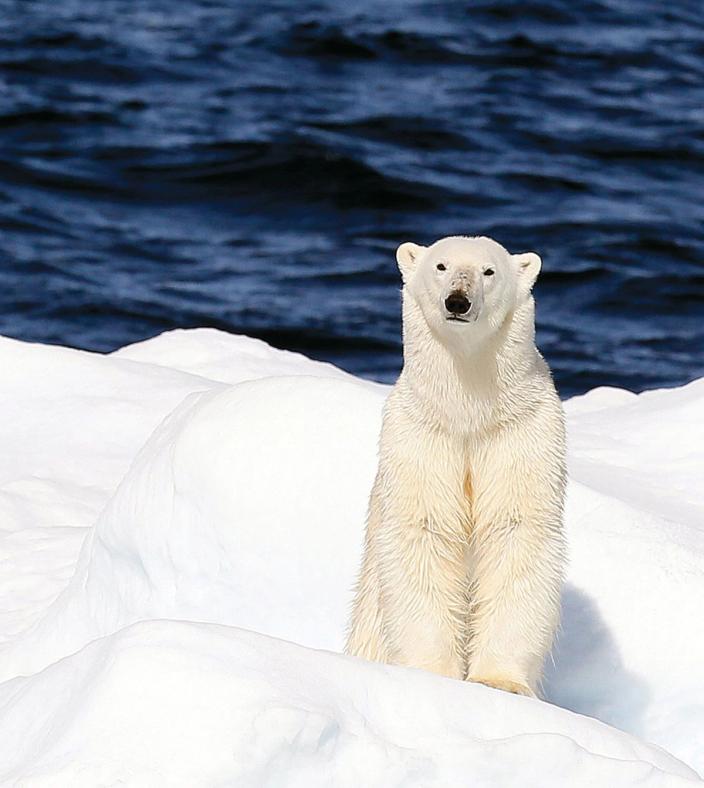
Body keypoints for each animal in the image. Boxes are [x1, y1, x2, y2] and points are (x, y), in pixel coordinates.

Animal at [345, 235, 566, 697]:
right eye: (441, 266)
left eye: (489, 271)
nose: (458, 301)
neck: (467, 410)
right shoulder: (421, 434)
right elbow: (424, 532)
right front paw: (433, 674)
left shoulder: (520, 431)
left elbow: (516, 531)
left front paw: (499, 681)